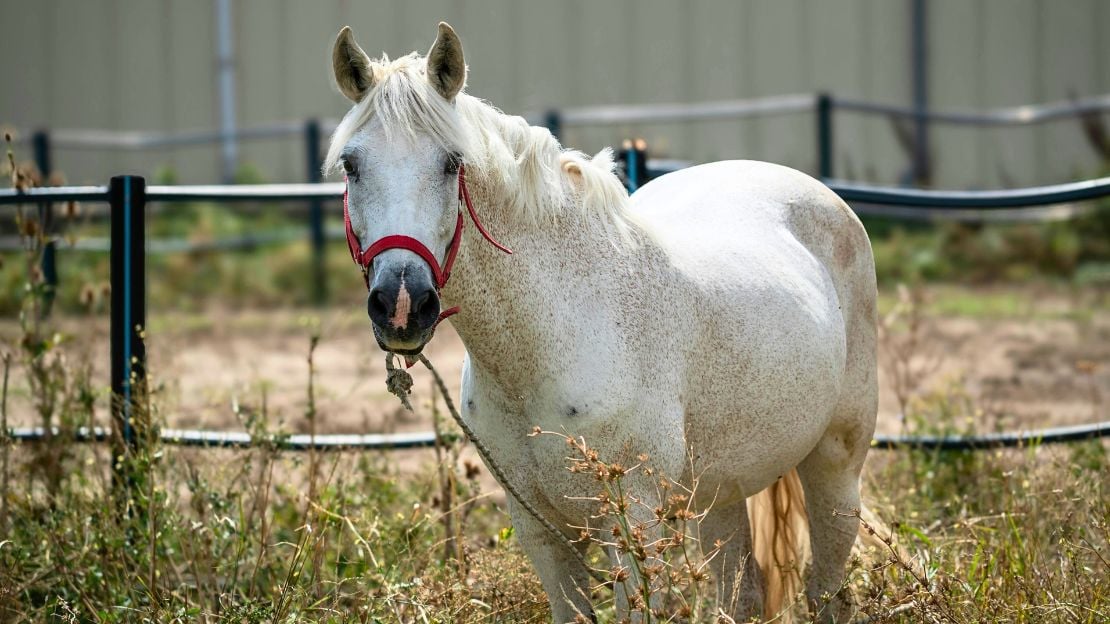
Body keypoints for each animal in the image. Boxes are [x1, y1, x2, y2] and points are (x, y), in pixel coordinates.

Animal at [326, 22, 878, 623]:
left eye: (452, 163)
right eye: (352, 165)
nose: (402, 304)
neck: (553, 338)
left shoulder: (632, 525)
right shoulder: (542, 533)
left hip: (835, 469)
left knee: (827, 589)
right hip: (719, 495)